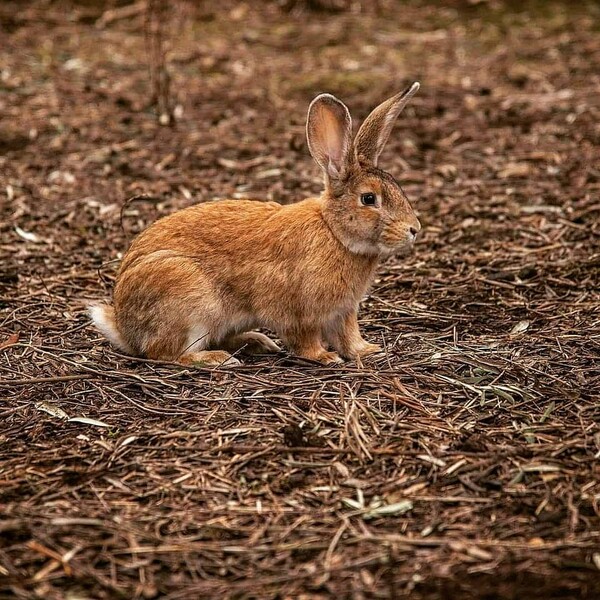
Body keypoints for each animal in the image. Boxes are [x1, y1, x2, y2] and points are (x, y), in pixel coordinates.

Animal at [91, 82, 424, 368]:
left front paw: (368, 351)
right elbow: (305, 339)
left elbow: (348, 335)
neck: (334, 232)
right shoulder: (297, 310)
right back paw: (218, 359)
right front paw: (324, 357)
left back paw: (256, 342)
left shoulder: (343, 312)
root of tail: (122, 324)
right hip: (190, 301)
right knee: (164, 352)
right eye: (369, 199)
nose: (414, 229)